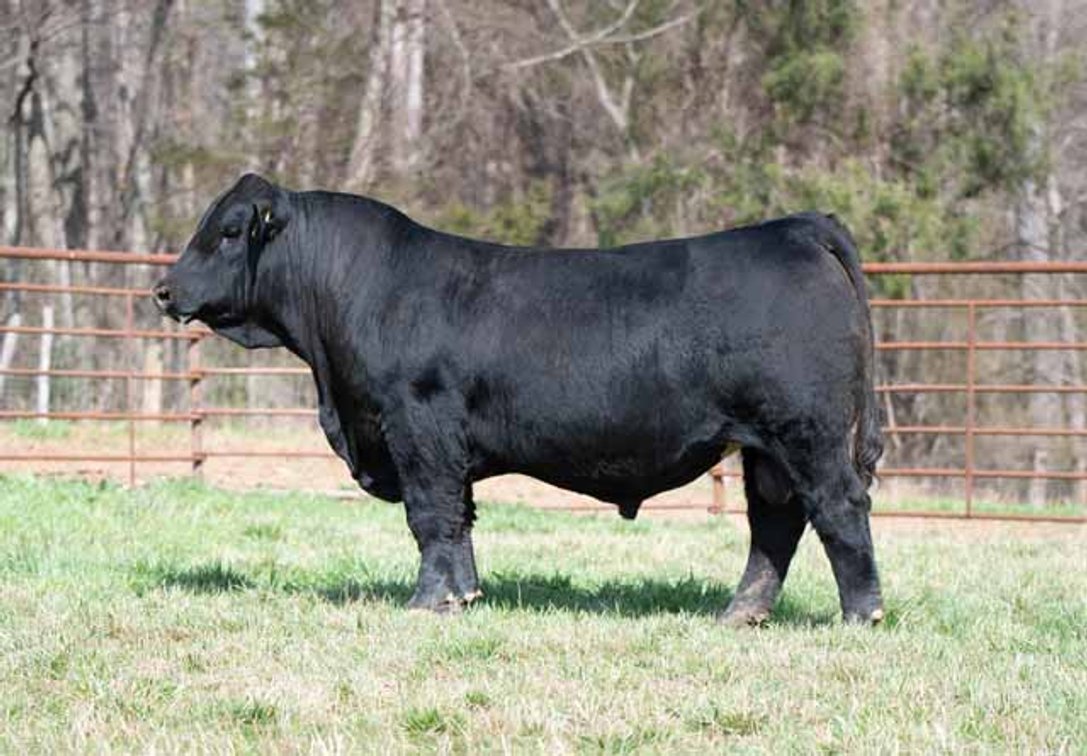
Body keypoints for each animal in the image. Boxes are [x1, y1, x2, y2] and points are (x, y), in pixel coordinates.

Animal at [154, 173, 885, 625]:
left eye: (227, 232)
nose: (163, 290)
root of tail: (796, 227)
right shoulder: (446, 446)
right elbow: (461, 520)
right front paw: (464, 596)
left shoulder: (416, 426)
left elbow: (430, 516)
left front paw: (425, 603)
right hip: (766, 448)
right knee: (775, 524)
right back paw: (739, 614)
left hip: (807, 432)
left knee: (837, 508)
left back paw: (861, 614)